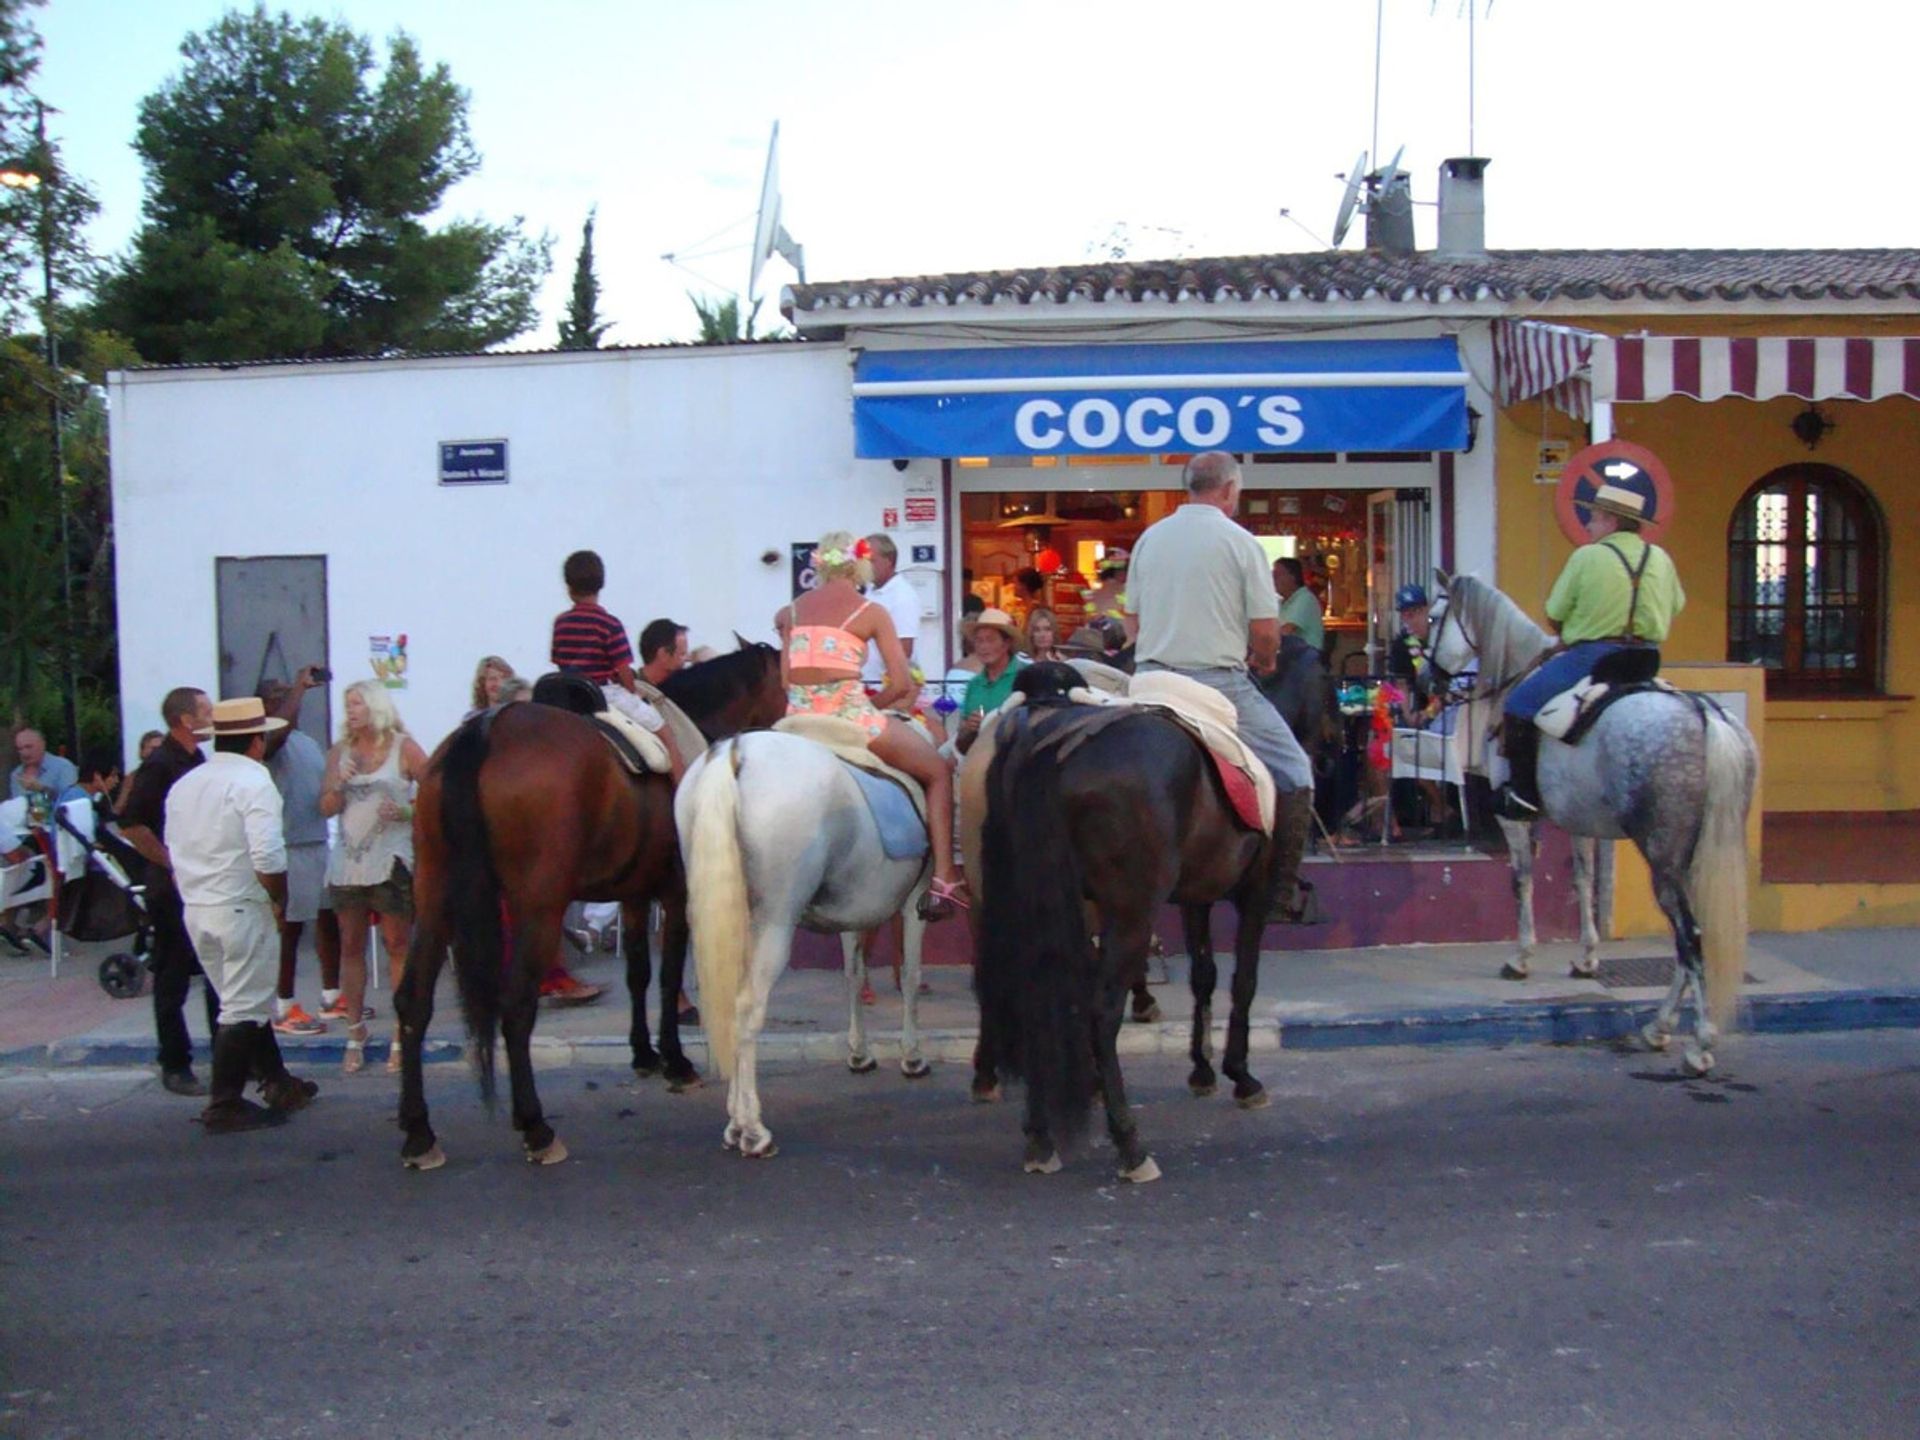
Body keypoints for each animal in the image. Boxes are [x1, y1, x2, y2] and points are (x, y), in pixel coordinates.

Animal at [393, 641, 783, 1175]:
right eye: (784, 681)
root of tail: (486, 728)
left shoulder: (636, 893)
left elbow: (638, 972)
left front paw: (643, 1053)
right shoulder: (677, 893)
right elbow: (667, 977)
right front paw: (676, 1060)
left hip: (435, 897)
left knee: (413, 999)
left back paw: (418, 1132)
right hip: (537, 904)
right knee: (516, 1005)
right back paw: (536, 1127)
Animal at [679, 733, 933, 1159]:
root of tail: (734, 752)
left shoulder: (854, 915)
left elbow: (853, 975)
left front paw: (860, 1053)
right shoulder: (915, 905)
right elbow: (912, 978)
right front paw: (912, 1056)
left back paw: (735, 1124)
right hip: (774, 922)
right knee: (747, 1007)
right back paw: (752, 1131)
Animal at [975, 664, 1290, 1182]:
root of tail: (1046, 743)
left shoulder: (1195, 896)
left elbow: (1204, 975)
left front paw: (1202, 1069)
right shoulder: (1255, 890)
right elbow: (1243, 980)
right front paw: (1241, 1076)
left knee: (1036, 998)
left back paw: (1040, 1139)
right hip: (1131, 912)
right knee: (1100, 1013)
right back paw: (1129, 1145)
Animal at [1428, 568, 1758, 1075]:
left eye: (1432, 617)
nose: (1427, 678)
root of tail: (1704, 714)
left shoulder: (1516, 820)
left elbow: (1522, 881)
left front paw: (1521, 957)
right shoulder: (1577, 821)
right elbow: (1583, 880)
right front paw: (1587, 957)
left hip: (1663, 856)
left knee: (1690, 937)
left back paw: (1697, 1042)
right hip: (1700, 852)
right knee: (1691, 940)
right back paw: (1660, 1026)